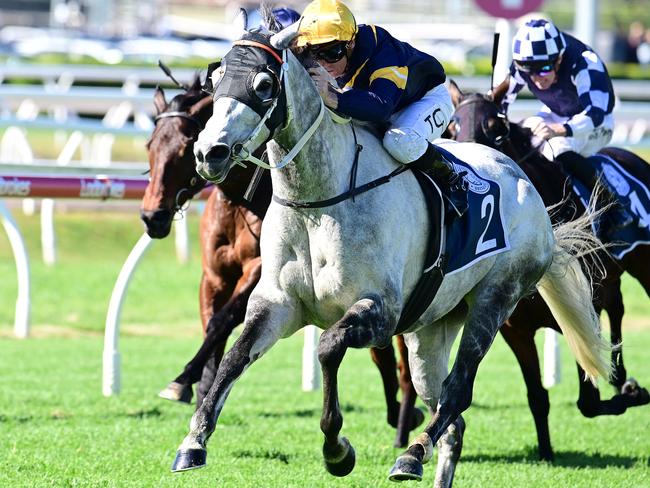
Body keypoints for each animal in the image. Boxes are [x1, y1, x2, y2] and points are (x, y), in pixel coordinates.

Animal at [140, 78, 422, 448]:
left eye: (184, 148)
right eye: (151, 145)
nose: (152, 217)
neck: (242, 201)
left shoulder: (259, 270)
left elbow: (221, 321)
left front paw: (183, 380)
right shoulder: (214, 276)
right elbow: (213, 324)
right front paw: (200, 390)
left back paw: (404, 416)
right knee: (383, 351)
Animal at [173, 24, 608, 486]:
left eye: (263, 84)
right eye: (215, 81)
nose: (209, 153)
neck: (318, 201)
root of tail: (524, 183)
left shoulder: (381, 311)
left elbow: (328, 346)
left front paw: (337, 450)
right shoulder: (277, 304)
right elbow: (234, 357)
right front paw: (193, 442)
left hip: (494, 300)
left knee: (457, 392)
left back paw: (412, 454)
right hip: (430, 329)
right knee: (451, 419)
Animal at [446, 78, 648, 460]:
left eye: (496, 129)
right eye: (451, 127)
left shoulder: (581, 309)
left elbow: (588, 400)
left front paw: (633, 392)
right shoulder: (514, 329)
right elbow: (538, 396)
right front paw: (546, 452)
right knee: (618, 308)